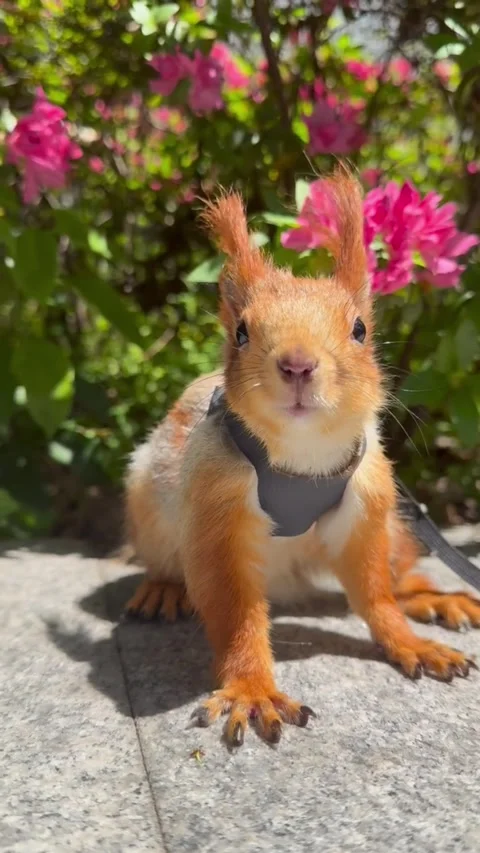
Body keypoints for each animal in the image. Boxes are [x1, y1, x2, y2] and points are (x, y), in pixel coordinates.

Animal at [124, 167, 480, 747]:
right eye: (241, 332)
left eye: (360, 329)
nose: (296, 364)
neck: (304, 456)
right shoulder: (217, 511)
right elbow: (235, 611)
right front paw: (252, 689)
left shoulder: (366, 506)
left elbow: (375, 594)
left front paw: (411, 643)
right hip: (149, 508)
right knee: (166, 562)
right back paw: (162, 588)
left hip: (396, 522)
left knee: (396, 576)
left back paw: (437, 598)